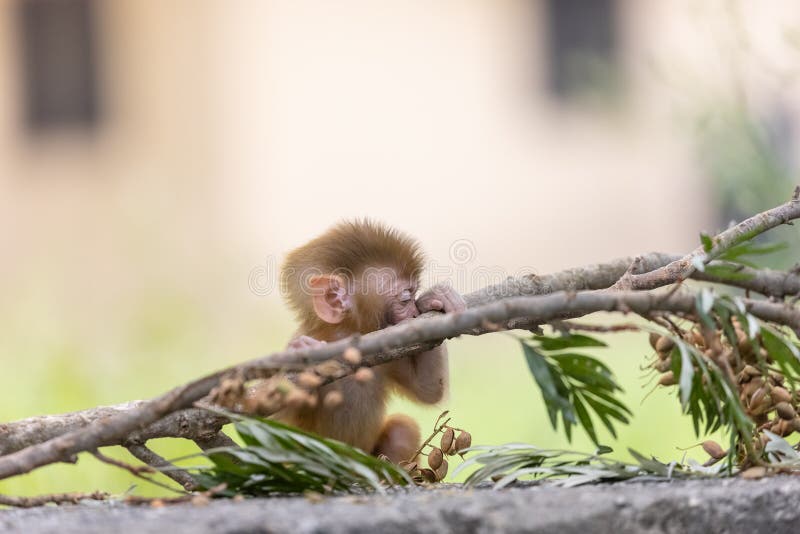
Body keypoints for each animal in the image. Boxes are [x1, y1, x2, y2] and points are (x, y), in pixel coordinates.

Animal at [275, 220, 466, 463]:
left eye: (414, 297)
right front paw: (303, 355)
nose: (414, 313)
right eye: (405, 299)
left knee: (402, 430)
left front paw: (436, 298)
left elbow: (429, 388)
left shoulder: (387, 350)